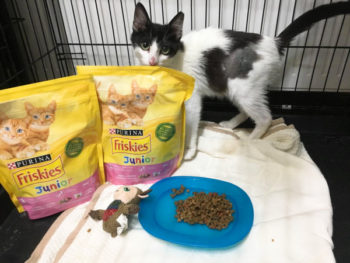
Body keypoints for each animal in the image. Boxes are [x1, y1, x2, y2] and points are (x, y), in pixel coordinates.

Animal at [131, 1, 350, 160]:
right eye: (144, 45)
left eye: (165, 49)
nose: (152, 61)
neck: (177, 59)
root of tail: (273, 42)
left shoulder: (193, 98)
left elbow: (192, 122)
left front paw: (189, 151)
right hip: (234, 85)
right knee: (247, 109)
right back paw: (230, 124)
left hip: (244, 86)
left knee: (264, 117)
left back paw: (249, 143)